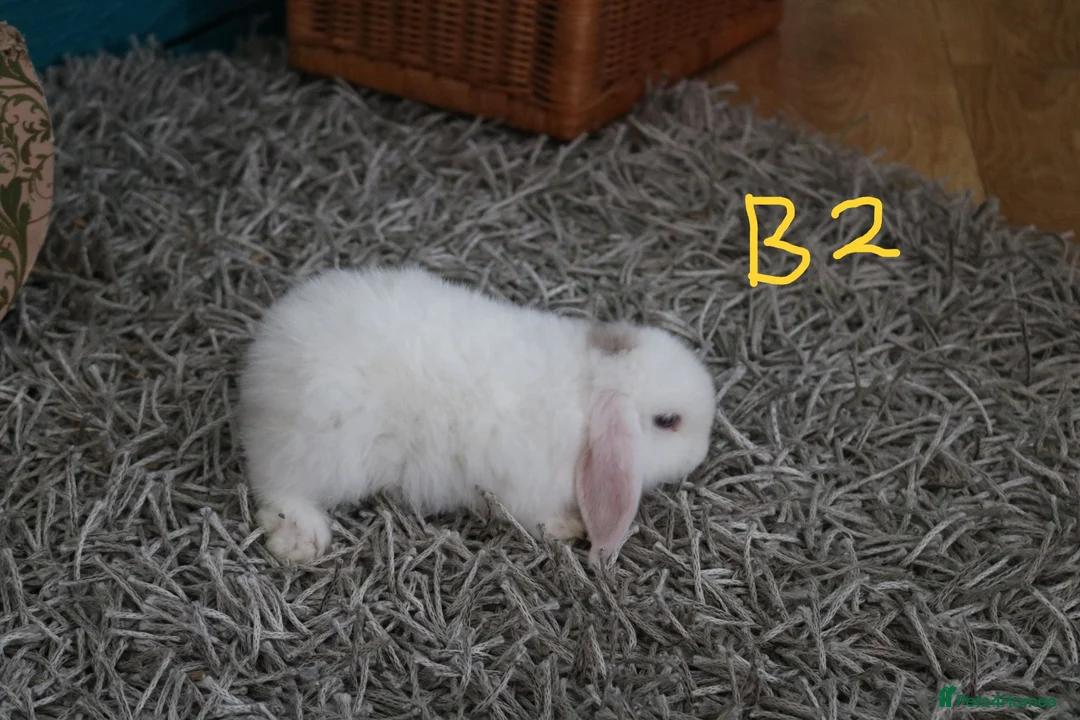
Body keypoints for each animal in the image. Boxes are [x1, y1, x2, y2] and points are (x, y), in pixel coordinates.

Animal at [237, 266, 716, 566]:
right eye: (668, 421)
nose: (703, 451)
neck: (588, 394)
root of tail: (267, 362)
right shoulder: (526, 487)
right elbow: (539, 517)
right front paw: (570, 528)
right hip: (322, 450)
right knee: (276, 486)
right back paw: (302, 539)